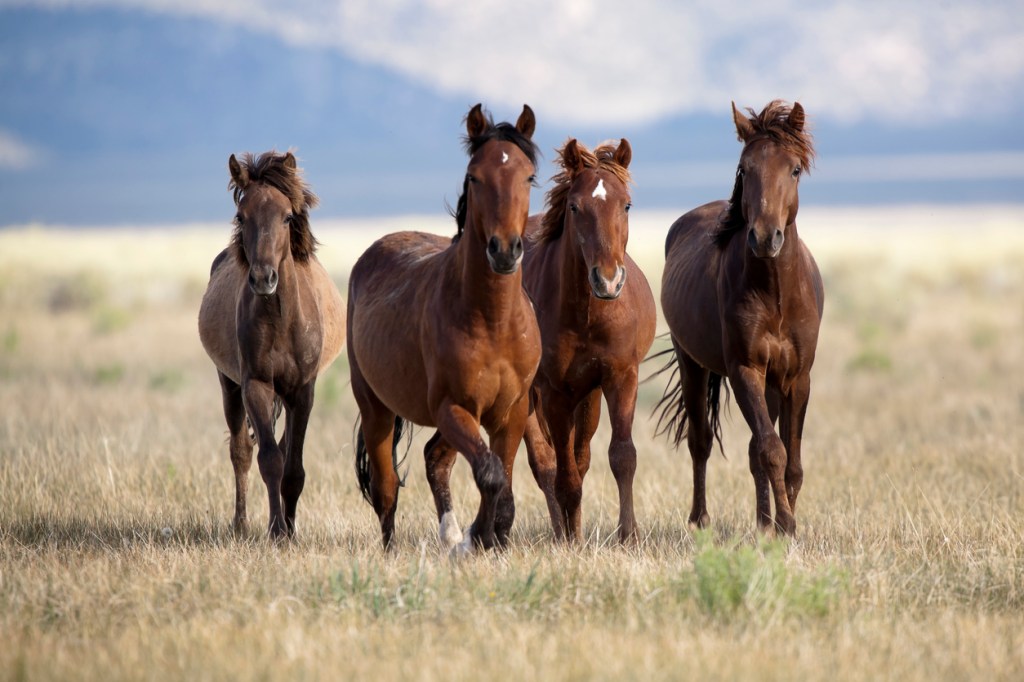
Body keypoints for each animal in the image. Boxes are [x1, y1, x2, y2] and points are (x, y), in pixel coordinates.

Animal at [198, 150, 346, 538]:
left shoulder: (302, 391)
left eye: (288, 216)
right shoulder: (256, 385)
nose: (264, 278)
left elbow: (293, 467)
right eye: (241, 215)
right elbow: (269, 460)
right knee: (241, 451)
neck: (280, 319)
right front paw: (277, 530)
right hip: (229, 385)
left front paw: (289, 529)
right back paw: (241, 524)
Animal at [347, 104, 542, 552]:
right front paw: (478, 537)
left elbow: (502, 480)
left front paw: (489, 537)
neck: (493, 322)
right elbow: (490, 473)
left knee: (435, 459)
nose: (504, 251)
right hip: (376, 408)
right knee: (386, 487)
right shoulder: (454, 407)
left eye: (528, 176)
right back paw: (396, 550)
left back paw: (451, 535)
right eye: (474, 176)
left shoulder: (511, 411)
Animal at [521, 138, 656, 543]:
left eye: (626, 204)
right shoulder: (553, 393)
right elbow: (563, 475)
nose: (608, 280)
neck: (586, 315)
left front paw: (628, 535)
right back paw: (562, 533)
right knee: (547, 463)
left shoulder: (620, 378)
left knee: (579, 459)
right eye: (574, 206)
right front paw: (569, 542)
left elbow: (622, 456)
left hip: (589, 397)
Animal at [658, 100, 824, 535]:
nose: (765, 237)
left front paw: (782, 523)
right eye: (744, 169)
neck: (776, 294)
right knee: (700, 442)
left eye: (794, 169)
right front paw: (786, 526)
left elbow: (791, 461)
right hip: (692, 363)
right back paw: (700, 519)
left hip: (771, 382)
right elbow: (772, 451)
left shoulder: (796, 378)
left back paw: (762, 521)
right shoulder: (745, 369)